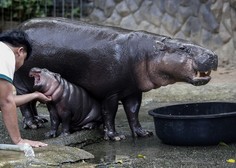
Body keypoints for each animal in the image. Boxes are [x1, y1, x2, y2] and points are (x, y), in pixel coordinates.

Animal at [14, 17, 218, 140]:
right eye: (183, 48)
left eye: (190, 42)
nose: (213, 55)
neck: (147, 53)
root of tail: (19, 27)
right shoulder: (111, 93)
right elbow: (109, 113)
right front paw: (115, 136)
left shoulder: (133, 91)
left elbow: (133, 112)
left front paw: (143, 133)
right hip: (22, 81)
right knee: (24, 103)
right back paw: (32, 124)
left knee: (31, 102)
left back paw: (40, 120)